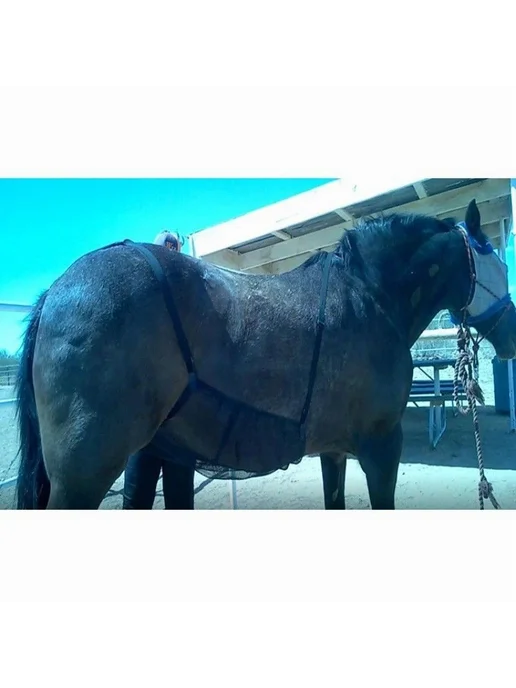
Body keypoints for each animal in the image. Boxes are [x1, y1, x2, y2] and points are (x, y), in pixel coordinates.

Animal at [15, 199, 516, 510]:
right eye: (497, 261)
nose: (511, 334)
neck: (367, 298)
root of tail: (56, 290)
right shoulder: (380, 446)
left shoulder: (334, 450)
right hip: (84, 474)